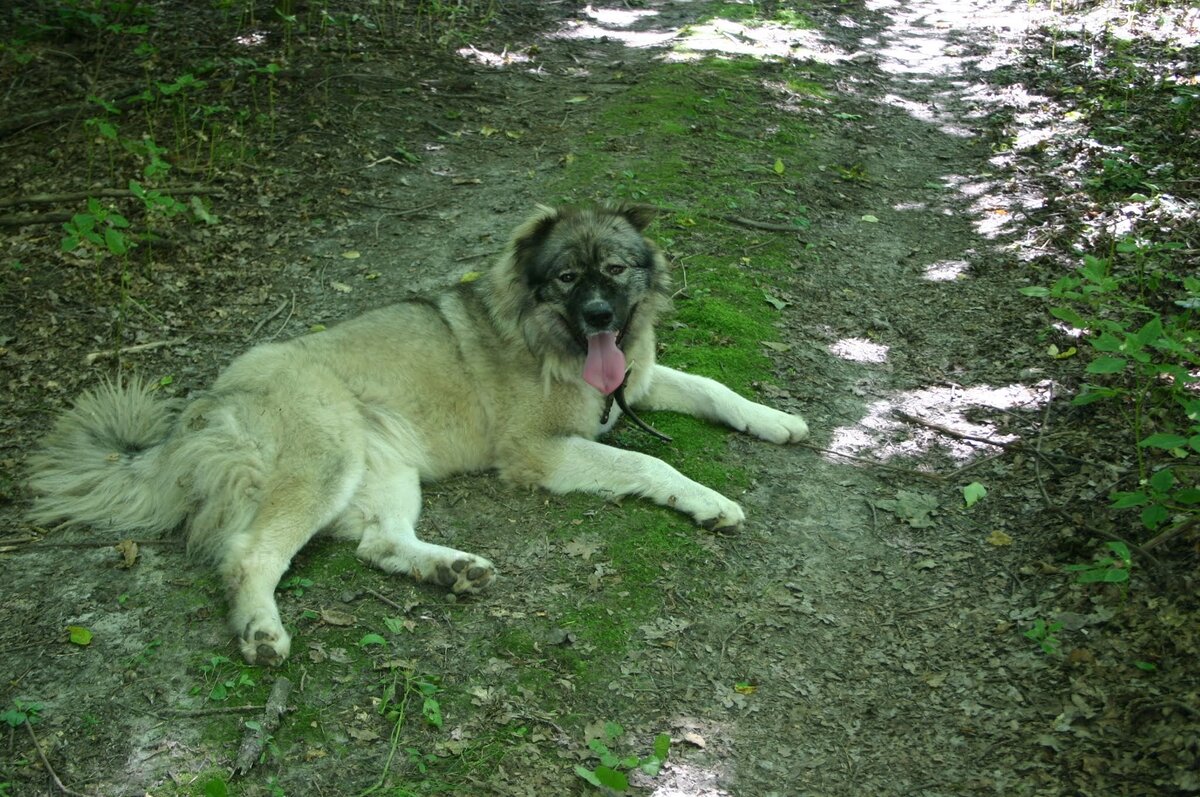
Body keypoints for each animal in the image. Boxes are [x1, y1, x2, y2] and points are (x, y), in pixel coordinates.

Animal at [25, 202, 806, 662]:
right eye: (564, 278)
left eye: (614, 270)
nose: (598, 317)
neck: (550, 339)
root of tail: (201, 409)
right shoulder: (541, 452)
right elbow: (650, 466)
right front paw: (708, 500)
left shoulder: (630, 386)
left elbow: (709, 387)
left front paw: (778, 420)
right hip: (325, 463)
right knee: (248, 554)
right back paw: (261, 631)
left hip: (387, 474)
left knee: (378, 544)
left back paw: (450, 567)